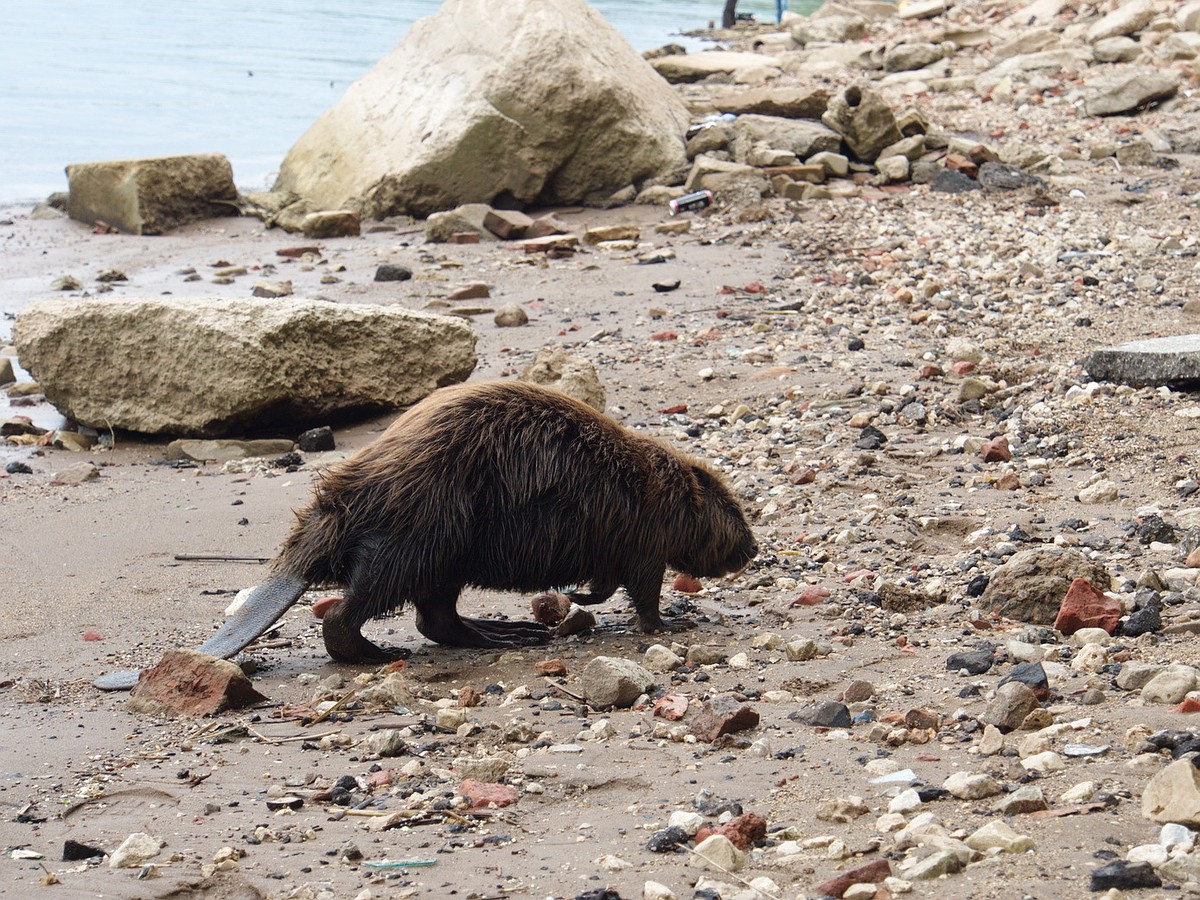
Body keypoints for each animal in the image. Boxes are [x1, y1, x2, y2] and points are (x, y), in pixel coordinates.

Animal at [98, 381, 758, 691]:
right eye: (733, 506)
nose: (752, 550)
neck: (652, 484)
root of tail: (307, 548)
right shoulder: (644, 537)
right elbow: (644, 592)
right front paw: (671, 625)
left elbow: (604, 582)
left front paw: (577, 599)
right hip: (421, 537)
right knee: (353, 614)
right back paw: (381, 652)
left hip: (440, 554)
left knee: (434, 617)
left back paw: (503, 635)